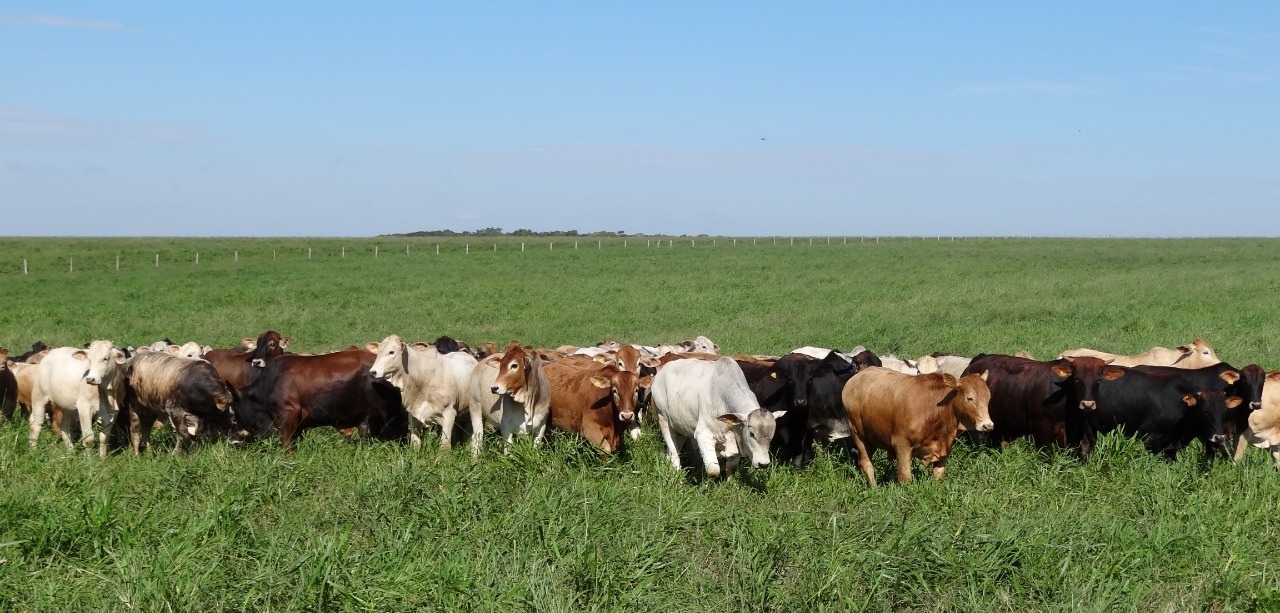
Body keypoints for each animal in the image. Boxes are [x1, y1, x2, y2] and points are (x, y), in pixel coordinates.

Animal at [655, 355, 783, 481]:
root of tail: (662, 372)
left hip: (679, 427)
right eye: (752, 434)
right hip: (663, 419)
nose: (764, 464)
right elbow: (713, 470)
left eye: (772, 436)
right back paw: (676, 476)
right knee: (674, 452)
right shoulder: (703, 434)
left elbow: (731, 468)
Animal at [844, 363, 993, 483]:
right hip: (858, 434)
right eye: (970, 398)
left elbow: (938, 474)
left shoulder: (944, 449)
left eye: (988, 398)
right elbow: (905, 477)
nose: (988, 425)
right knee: (866, 463)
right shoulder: (901, 445)